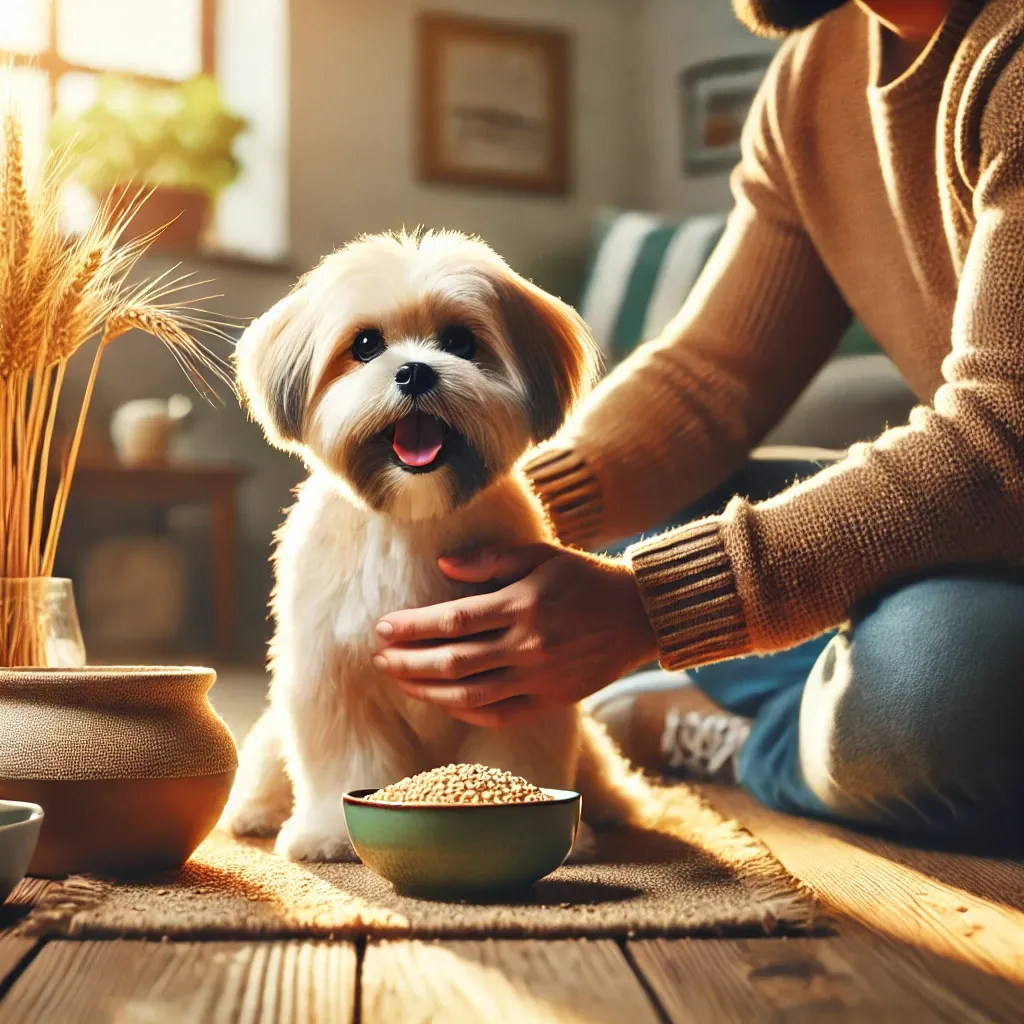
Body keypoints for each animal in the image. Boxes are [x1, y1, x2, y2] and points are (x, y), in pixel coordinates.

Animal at [226, 228, 647, 860]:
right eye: (366, 344)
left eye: (460, 341)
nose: (415, 372)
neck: (413, 517)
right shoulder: (333, 676)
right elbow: (343, 762)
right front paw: (329, 834)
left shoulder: (517, 680)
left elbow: (514, 752)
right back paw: (255, 811)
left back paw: (610, 807)